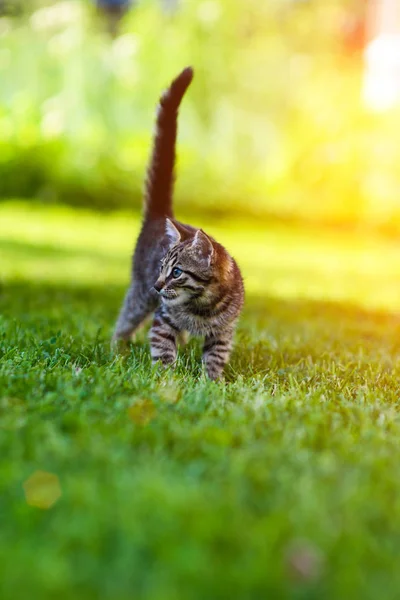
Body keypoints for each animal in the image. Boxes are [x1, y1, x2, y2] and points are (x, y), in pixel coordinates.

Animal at [111, 67, 244, 380]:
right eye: (162, 268)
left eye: (177, 272)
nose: (158, 285)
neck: (201, 306)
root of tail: (160, 215)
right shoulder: (163, 318)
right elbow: (162, 351)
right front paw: (167, 380)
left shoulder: (223, 331)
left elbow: (215, 357)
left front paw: (212, 382)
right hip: (139, 296)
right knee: (124, 321)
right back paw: (117, 349)